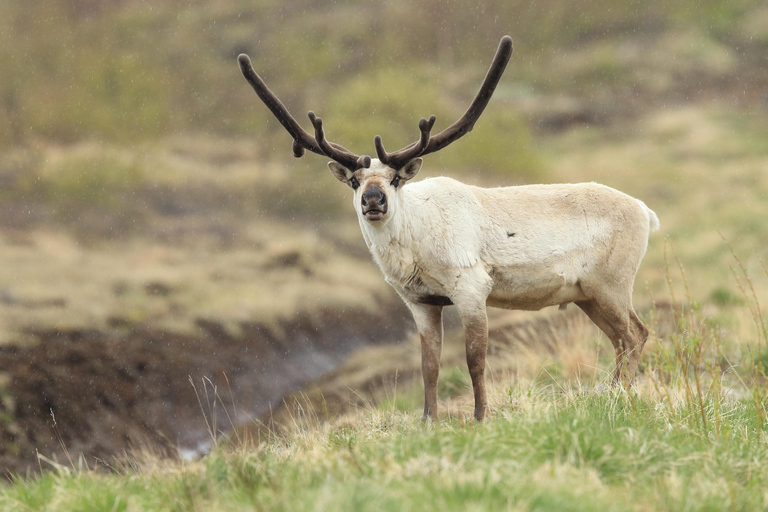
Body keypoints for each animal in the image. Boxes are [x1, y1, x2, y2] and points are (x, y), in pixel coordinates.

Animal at [237, 36, 659, 422]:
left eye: (394, 178)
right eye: (355, 180)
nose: (373, 200)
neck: (415, 249)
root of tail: (645, 211)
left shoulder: (471, 288)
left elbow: (475, 359)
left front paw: (481, 416)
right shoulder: (421, 302)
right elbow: (430, 366)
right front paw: (429, 420)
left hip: (611, 283)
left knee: (635, 333)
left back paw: (619, 396)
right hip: (586, 293)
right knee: (621, 339)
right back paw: (609, 393)